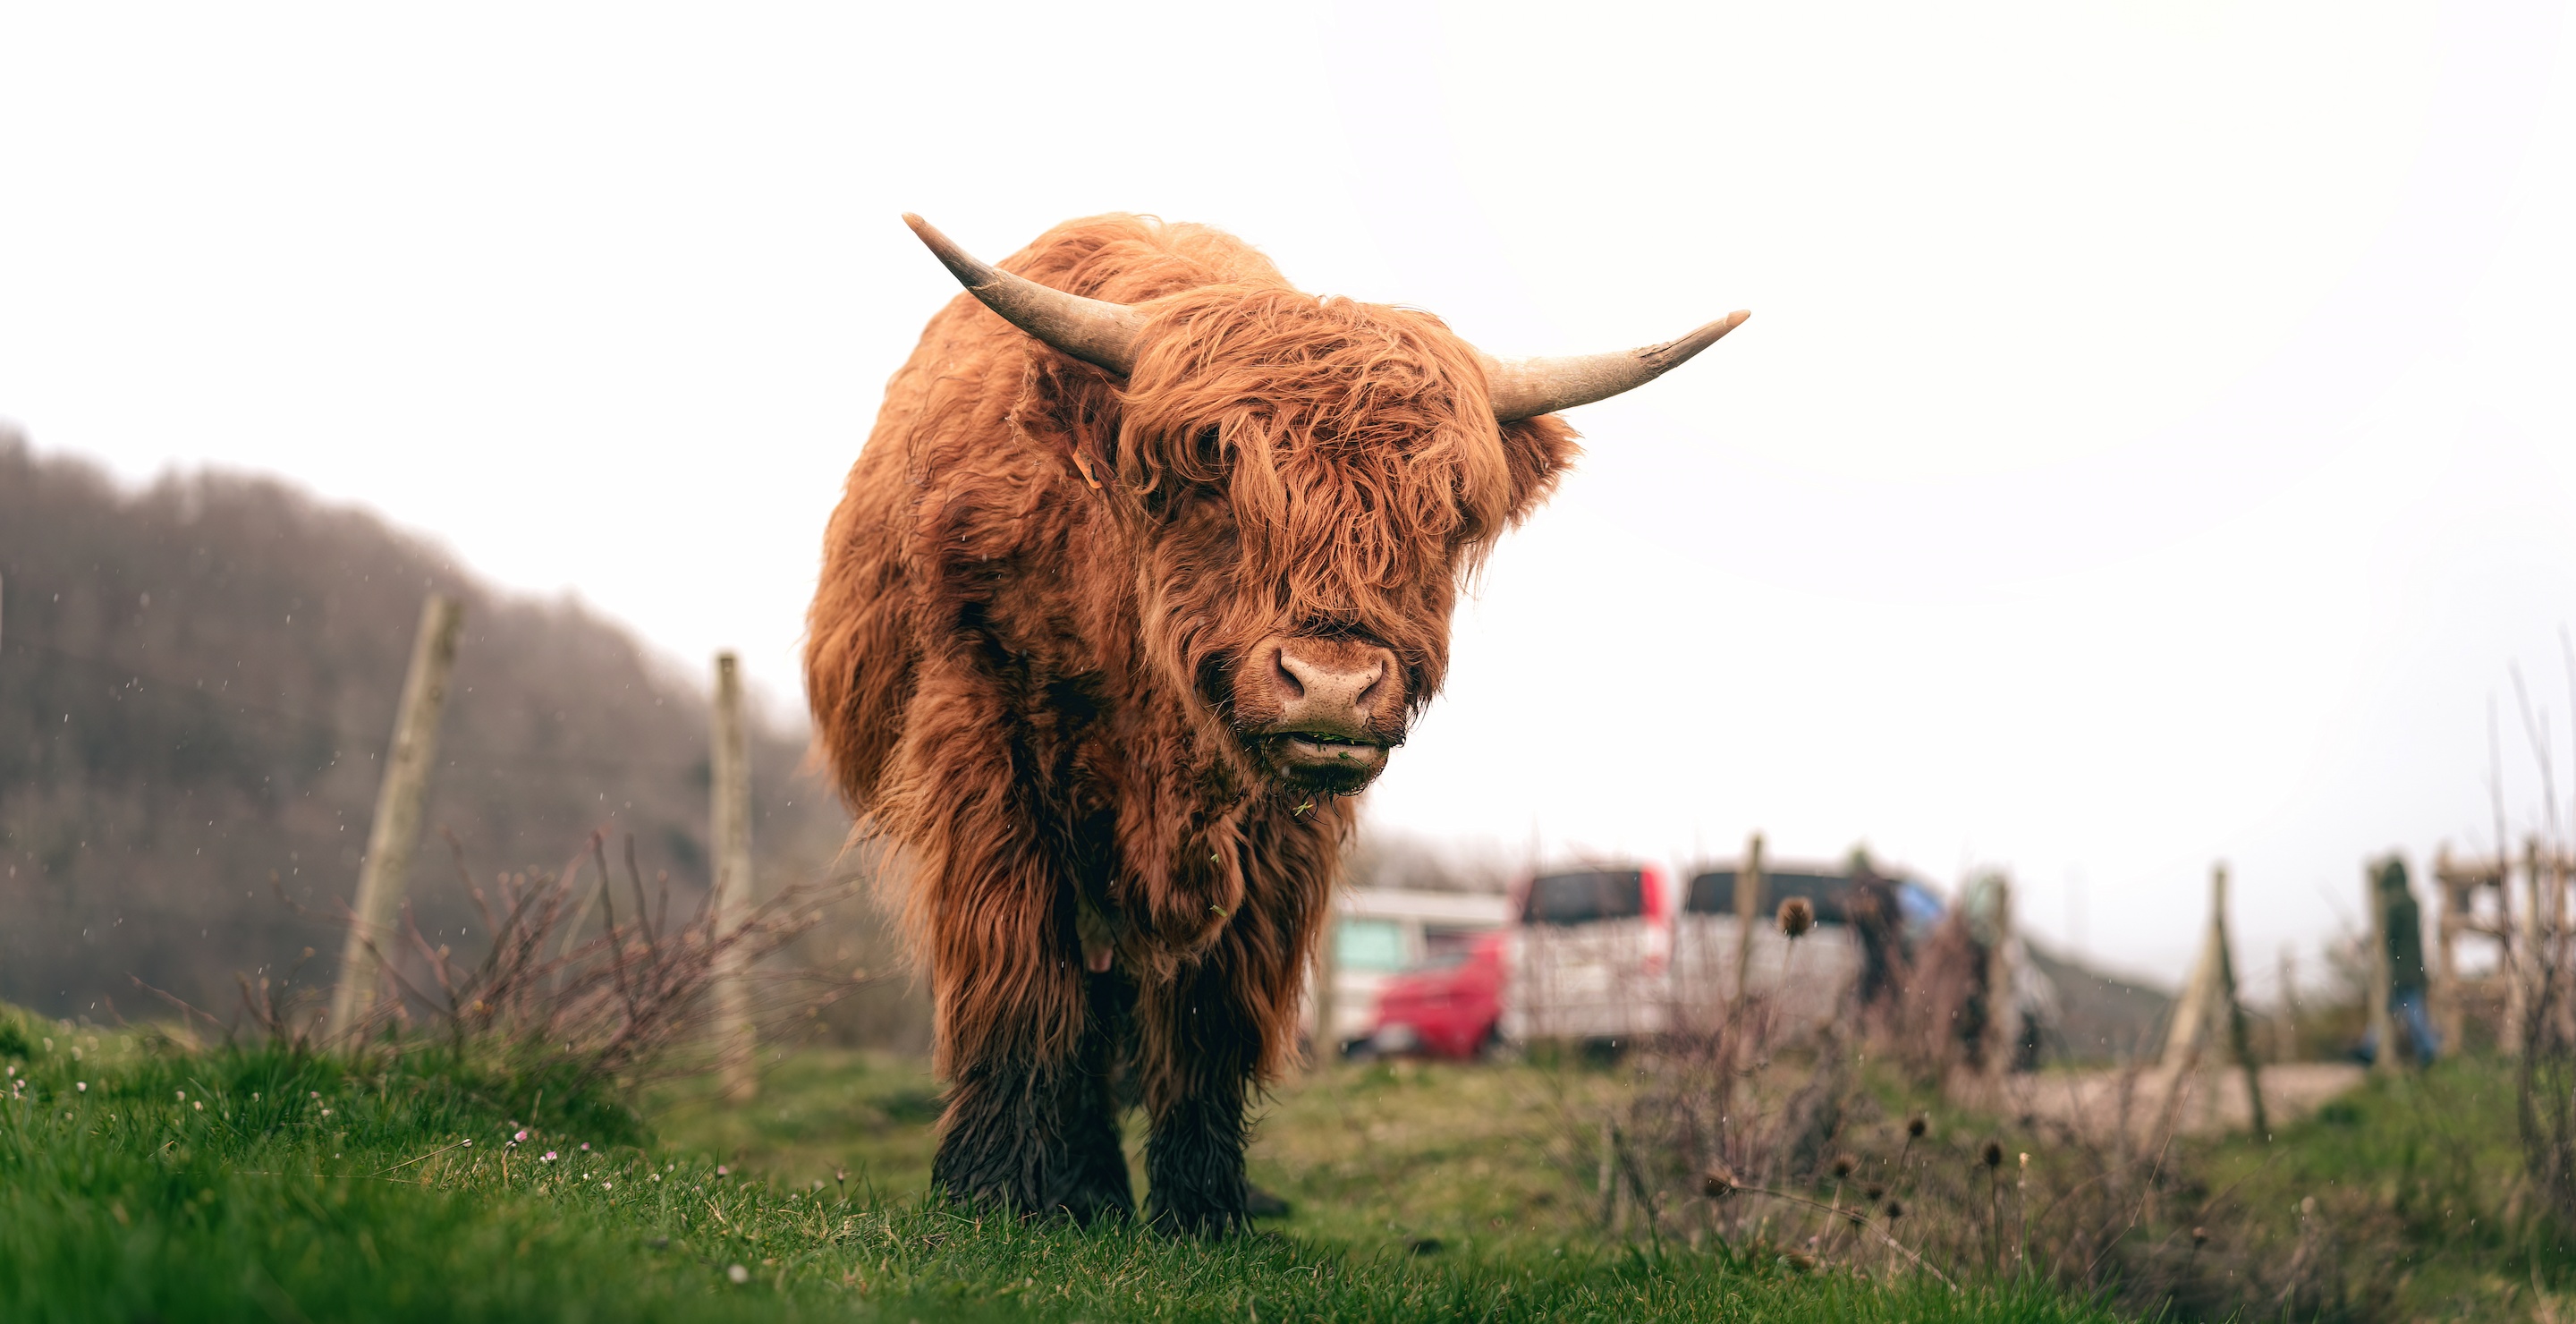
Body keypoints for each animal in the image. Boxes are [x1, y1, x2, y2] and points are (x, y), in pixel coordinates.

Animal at [804, 213, 1745, 1233]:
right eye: (1208, 477)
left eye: (1445, 509)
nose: (1332, 685)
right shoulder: (985, 745)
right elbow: (1017, 973)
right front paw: (994, 1197)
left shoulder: (1277, 839)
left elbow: (1211, 1015)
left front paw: (1204, 1211)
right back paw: (1080, 1192)